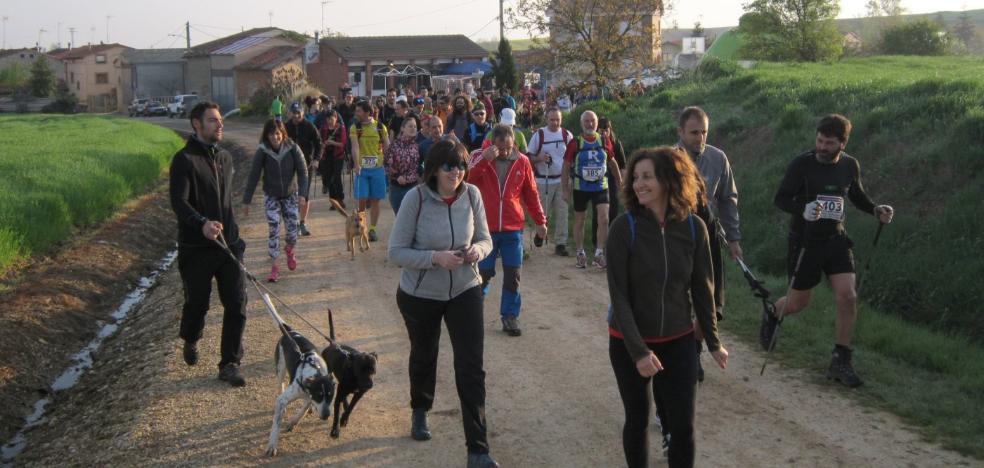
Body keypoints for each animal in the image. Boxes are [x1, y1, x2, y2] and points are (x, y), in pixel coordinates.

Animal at [266, 326, 338, 458]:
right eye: (319, 396)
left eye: (331, 396)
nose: (326, 415)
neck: (315, 371)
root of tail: (289, 331)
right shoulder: (284, 399)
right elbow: (276, 424)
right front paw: (272, 446)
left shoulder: (309, 396)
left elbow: (304, 408)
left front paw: (294, 422)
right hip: (280, 368)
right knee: (280, 385)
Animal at [326, 308, 380, 436]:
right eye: (360, 370)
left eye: (373, 370)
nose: (369, 385)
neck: (354, 379)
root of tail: (333, 343)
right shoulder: (339, 395)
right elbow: (336, 412)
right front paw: (335, 430)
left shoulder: (359, 394)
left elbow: (351, 407)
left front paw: (344, 419)